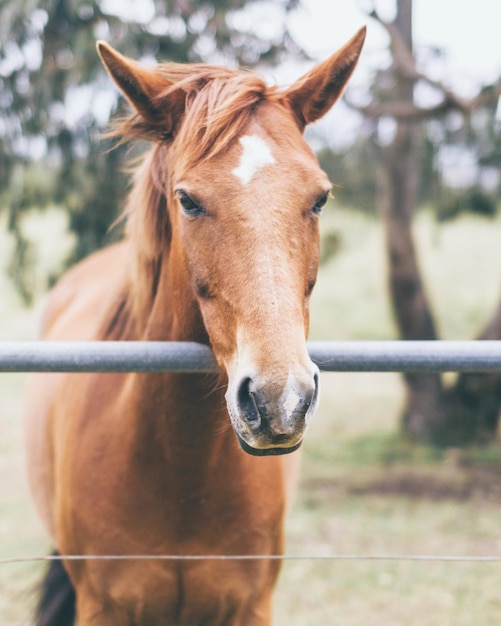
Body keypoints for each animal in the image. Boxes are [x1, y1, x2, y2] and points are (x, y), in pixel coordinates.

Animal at [24, 28, 364, 624]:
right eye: (187, 200)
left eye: (320, 198)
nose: (280, 400)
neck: (183, 473)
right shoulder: (101, 607)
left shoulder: (250, 607)